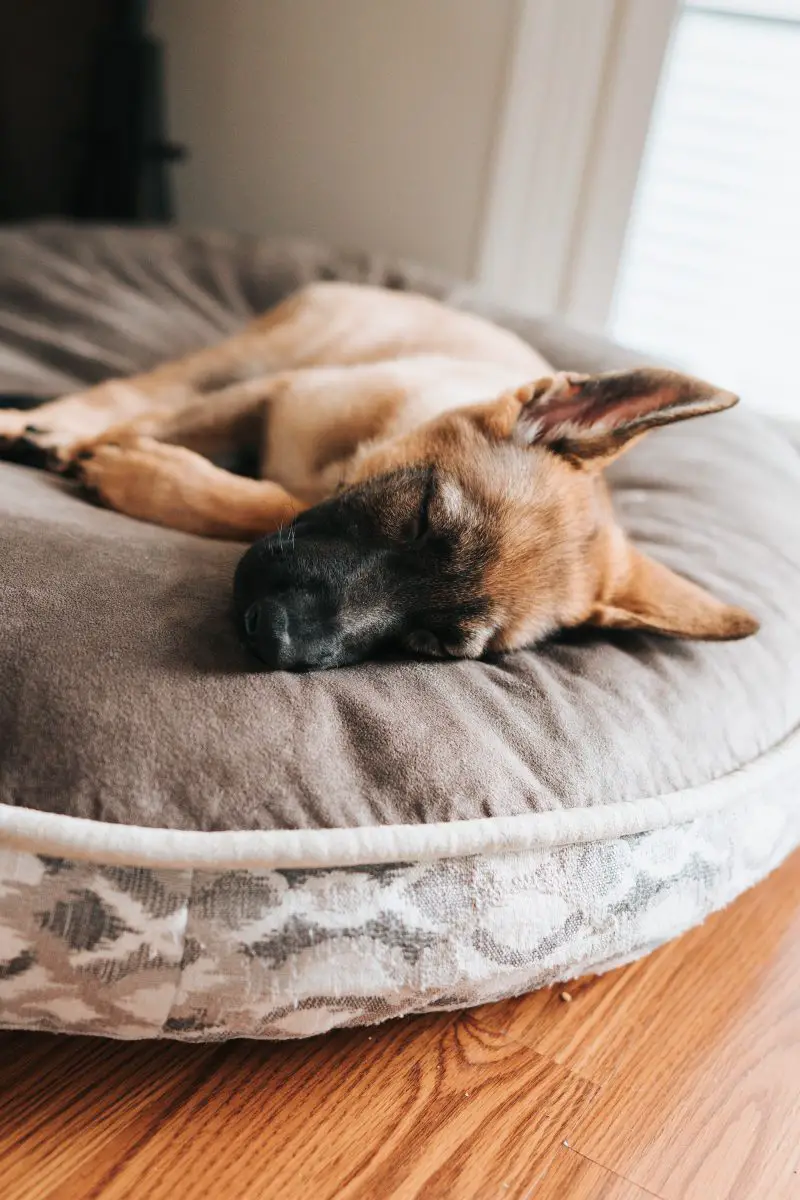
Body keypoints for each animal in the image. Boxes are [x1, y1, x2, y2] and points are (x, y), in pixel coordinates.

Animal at [0, 285, 762, 672]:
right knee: (137, 389)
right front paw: (110, 453)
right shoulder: (275, 392)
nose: (273, 638)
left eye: (436, 645)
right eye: (422, 514)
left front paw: (139, 470)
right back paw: (44, 426)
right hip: (256, 356)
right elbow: (212, 460)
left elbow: (268, 502)